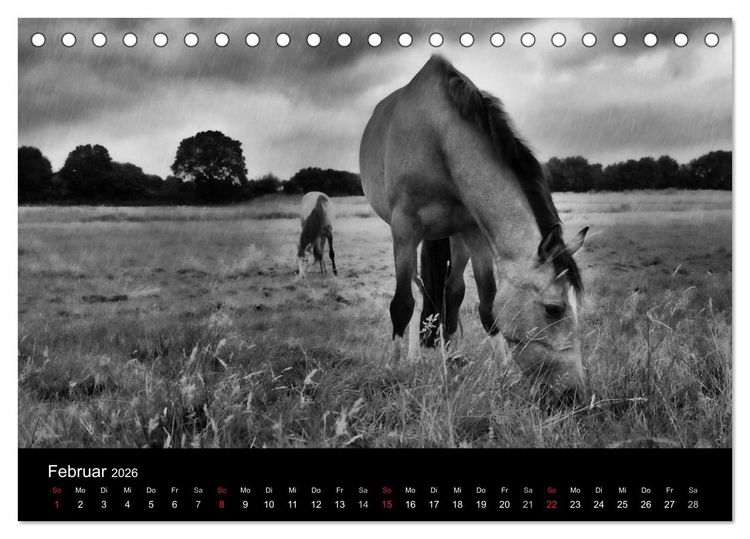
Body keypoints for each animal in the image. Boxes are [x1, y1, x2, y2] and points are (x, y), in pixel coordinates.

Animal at [359, 55, 589, 402]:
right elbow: (402, 304)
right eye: (554, 309)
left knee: (452, 292)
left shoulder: (474, 233)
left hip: (456, 237)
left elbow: (487, 306)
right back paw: (414, 359)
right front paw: (393, 373)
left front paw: (503, 376)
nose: (573, 393)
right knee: (416, 290)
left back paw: (452, 359)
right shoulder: (404, 229)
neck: (438, 137)